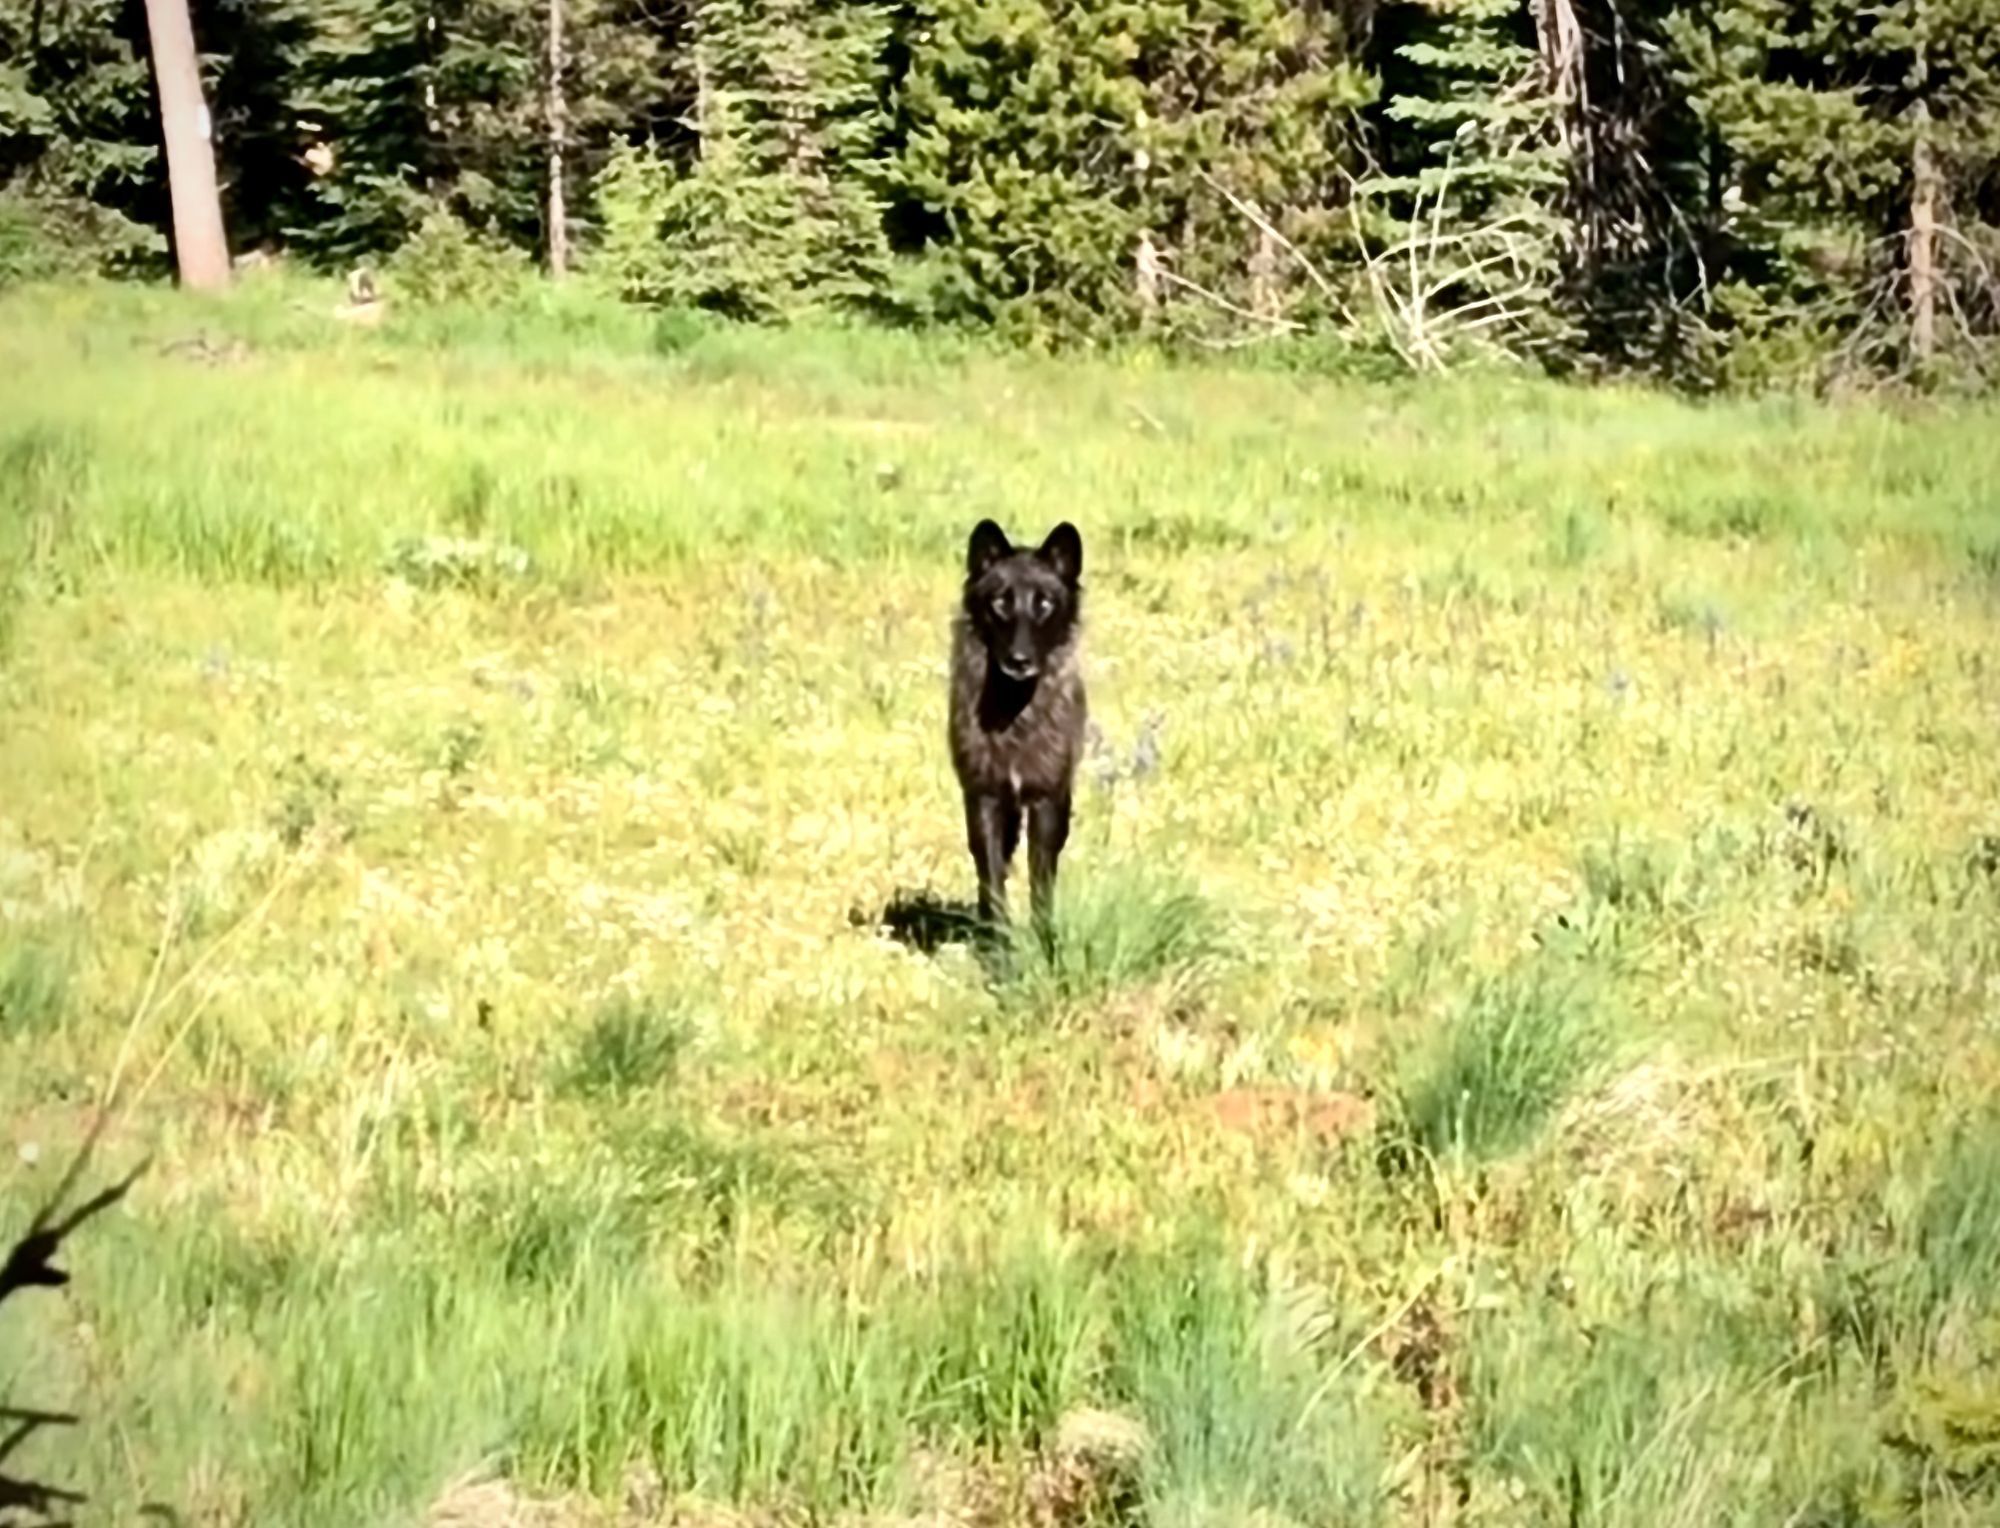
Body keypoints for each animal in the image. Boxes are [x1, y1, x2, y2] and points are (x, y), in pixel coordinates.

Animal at [948, 518, 1088, 940]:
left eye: (1044, 604)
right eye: (1000, 603)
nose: (1020, 661)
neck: (1014, 712)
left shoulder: (1047, 799)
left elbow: (1042, 879)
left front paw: (1044, 943)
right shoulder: (984, 796)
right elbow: (991, 875)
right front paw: (998, 943)